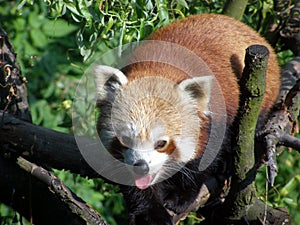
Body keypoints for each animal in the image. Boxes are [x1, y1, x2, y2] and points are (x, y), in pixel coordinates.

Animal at [95, 14, 280, 225]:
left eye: (161, 143)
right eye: (126, 139)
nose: (141, 167)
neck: (158, 68)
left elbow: (202, 162)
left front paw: (180, 197)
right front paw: (150, 213)